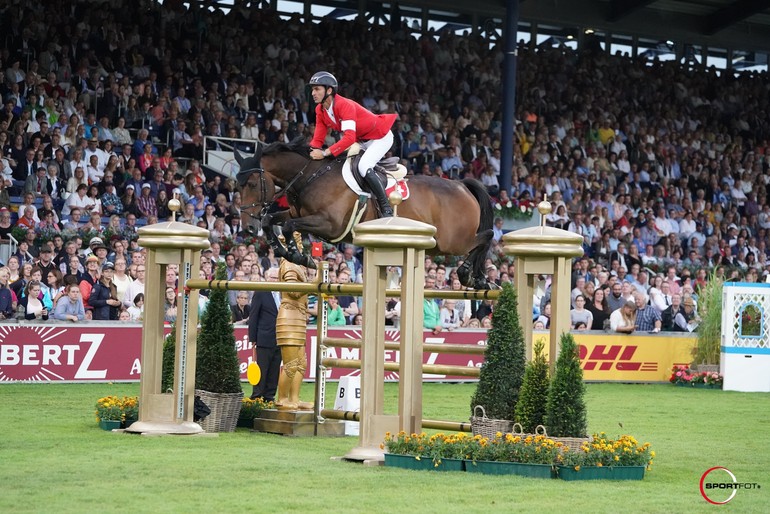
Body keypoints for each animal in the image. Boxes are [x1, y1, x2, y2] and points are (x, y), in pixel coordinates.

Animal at [234, 137, 496, 288]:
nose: (247, 227)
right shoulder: (297, 214)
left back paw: (468, 275)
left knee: (487, 236)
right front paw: (286, 251)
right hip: (439, 245)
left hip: (453, 242)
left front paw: (299, 256)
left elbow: (288, 226)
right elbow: (271, 220)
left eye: (252, 184)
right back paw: (479, 278)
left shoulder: (329, 225)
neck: (310, 176)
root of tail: (462, 185)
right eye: (237, 185)